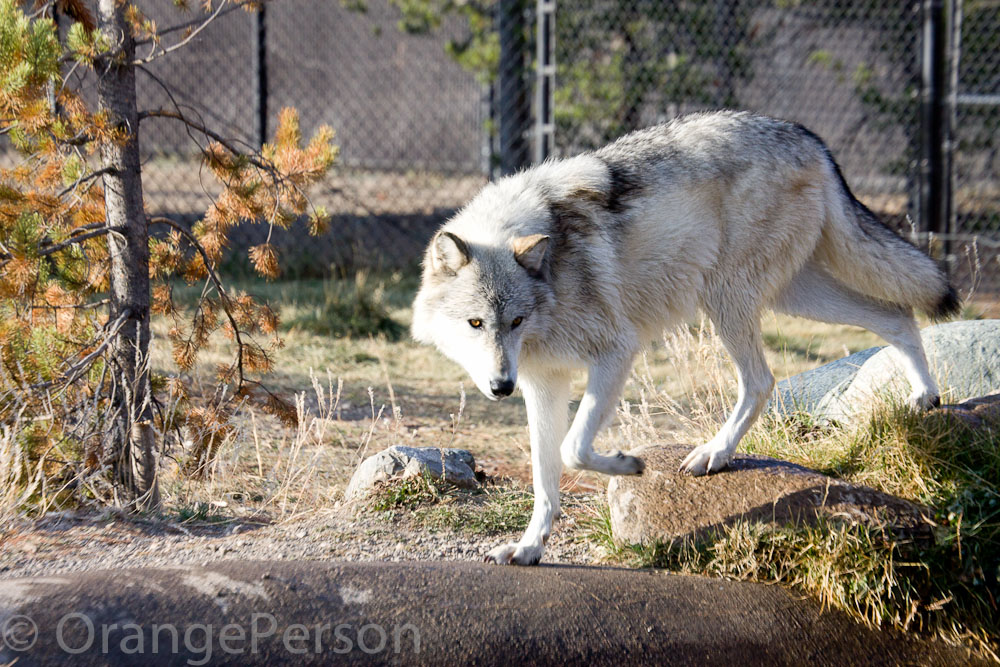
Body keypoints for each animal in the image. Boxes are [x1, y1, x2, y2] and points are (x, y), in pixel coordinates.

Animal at [411, 110, 959, 566]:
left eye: (516, 322)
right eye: (476, 324)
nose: (501, 387)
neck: (553, 270)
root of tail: (807, 137)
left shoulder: (616, 352)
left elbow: (573, 449)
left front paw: (629, 465)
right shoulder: (543, 384)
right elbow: (546, 481)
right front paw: (528, 549)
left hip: (728, 299)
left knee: (761, 380)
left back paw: (714, 453)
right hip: (794, 294)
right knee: (895, 313)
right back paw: (924, 396)